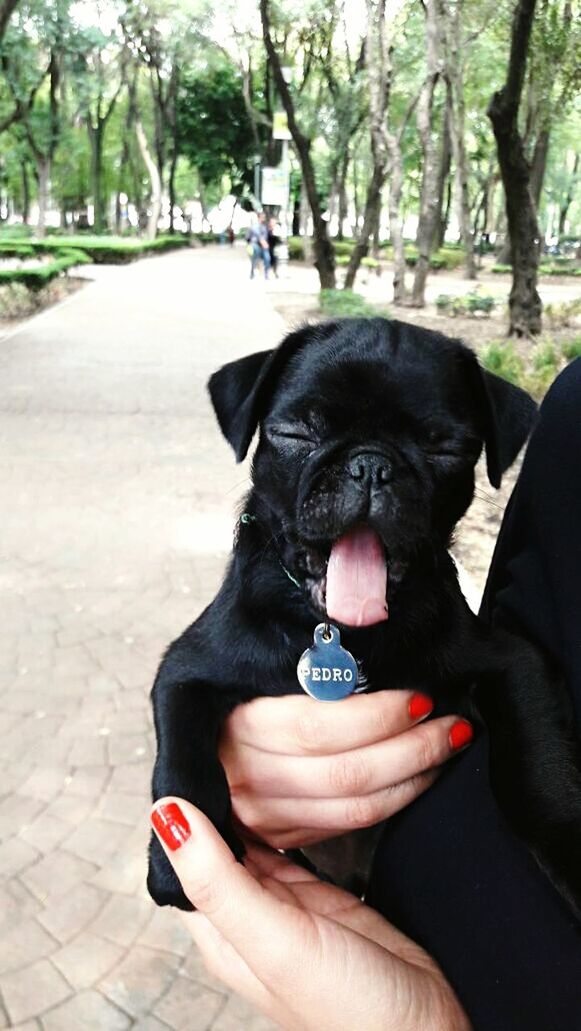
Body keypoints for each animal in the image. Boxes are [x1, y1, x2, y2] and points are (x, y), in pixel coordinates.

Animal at [148, 317, 581, 915]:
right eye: (297, 435)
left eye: (444, 448)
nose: (370, 464)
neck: (344, 630)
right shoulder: (186, 669)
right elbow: (182, 768)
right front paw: (174, 862)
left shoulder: (513, 662)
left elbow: (536, 766)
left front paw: (570, 849)